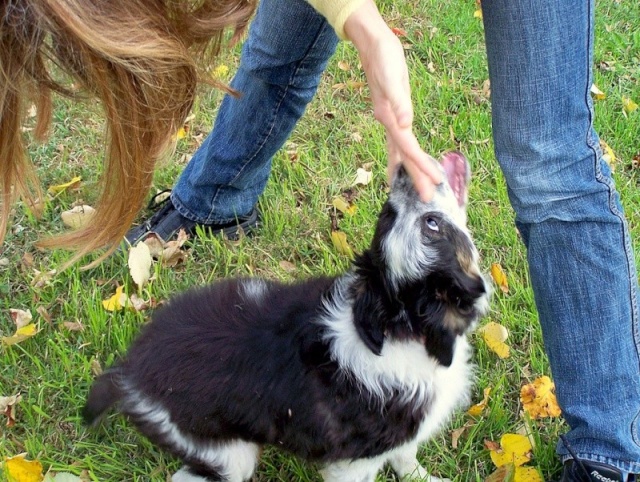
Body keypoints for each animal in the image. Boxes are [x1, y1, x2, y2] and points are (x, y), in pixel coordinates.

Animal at [82, 153, 488, 482]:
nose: (403, 168)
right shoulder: (353, 463)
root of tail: (128, 372)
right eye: (430, 224)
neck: (402, 328)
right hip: (223, 449)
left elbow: (406, 459)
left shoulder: (403, 434)